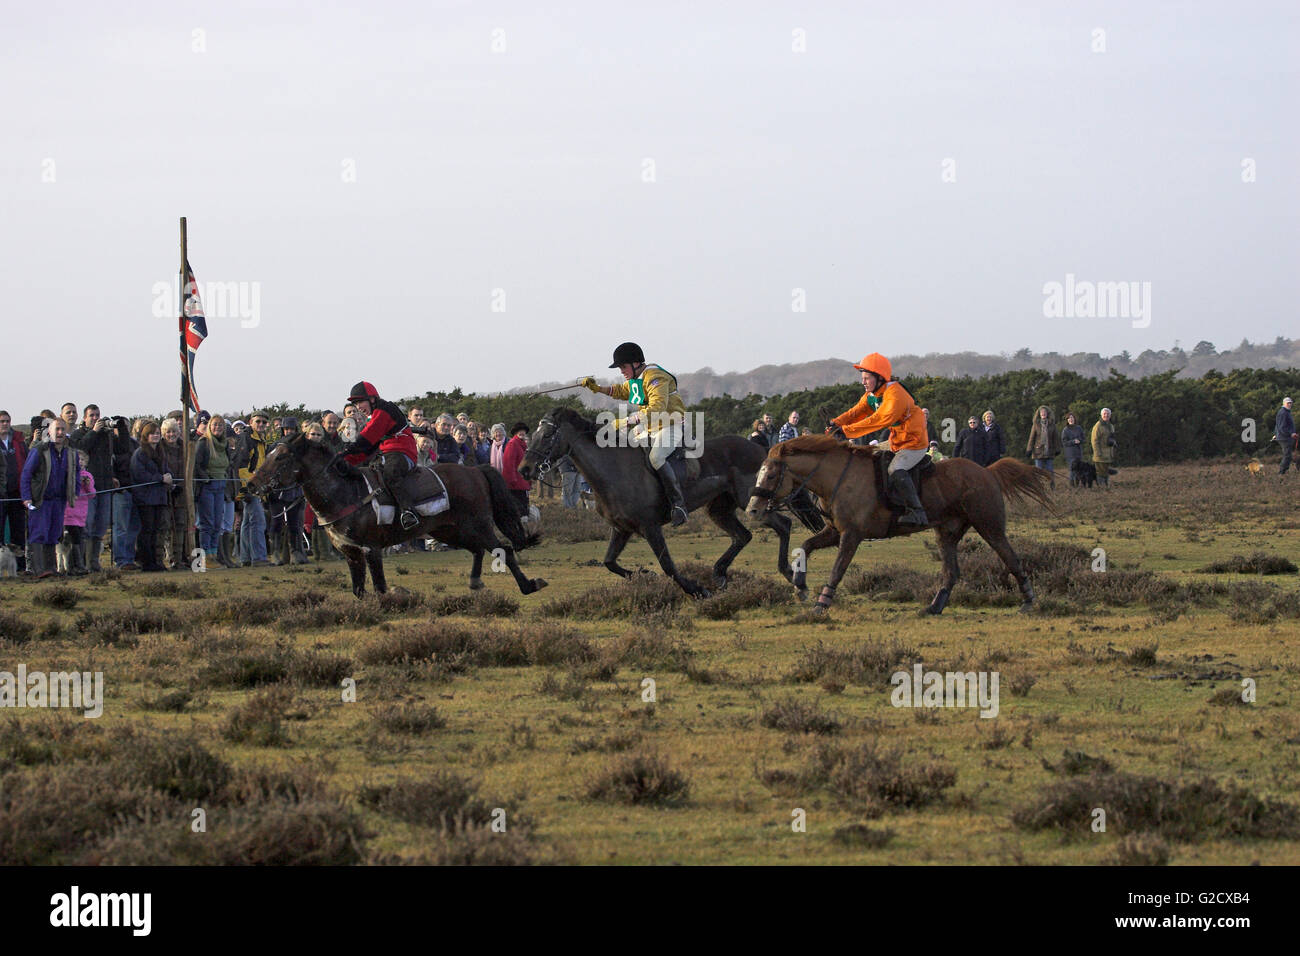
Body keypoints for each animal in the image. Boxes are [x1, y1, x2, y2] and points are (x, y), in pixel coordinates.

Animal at [245, 434, 546, 598]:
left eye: (280, 457)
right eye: (268, 453)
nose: (251, 485)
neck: (346, 492)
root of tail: (474, 470)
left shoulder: (371, 549)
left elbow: (379, 587)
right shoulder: (351, 553)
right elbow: (359, 590)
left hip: (478, 524)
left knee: (503, 549)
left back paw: (529, 585)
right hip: (449, 529)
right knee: (478, 550)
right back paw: (475, 582)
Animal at [512, 405, 816, 598]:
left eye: (547, 435)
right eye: (532, 435)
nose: (524, 469)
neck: (614, 470)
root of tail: (759, 448)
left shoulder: (650, 527)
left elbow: (668, 565)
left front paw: (696, 589)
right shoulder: (621, 529)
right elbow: (610, 562)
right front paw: (645, 575)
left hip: (751, 503)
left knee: (783, 525)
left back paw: (790, 575)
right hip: (719, 509)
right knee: (743, 536)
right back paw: (720, 573)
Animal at [743, 437, 1055, 616]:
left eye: (770, 475)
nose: (752, 510)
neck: (837, 477)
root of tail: (986, 471)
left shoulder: (851, 536)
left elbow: (837, 570)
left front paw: (821, 603)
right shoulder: (834, 531)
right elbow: (806, 547)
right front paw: (799, 584)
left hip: (989, 526)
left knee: (1011, 558)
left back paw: (1028, 601)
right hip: (947, 532)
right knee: (951, 572)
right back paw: (934, 607)